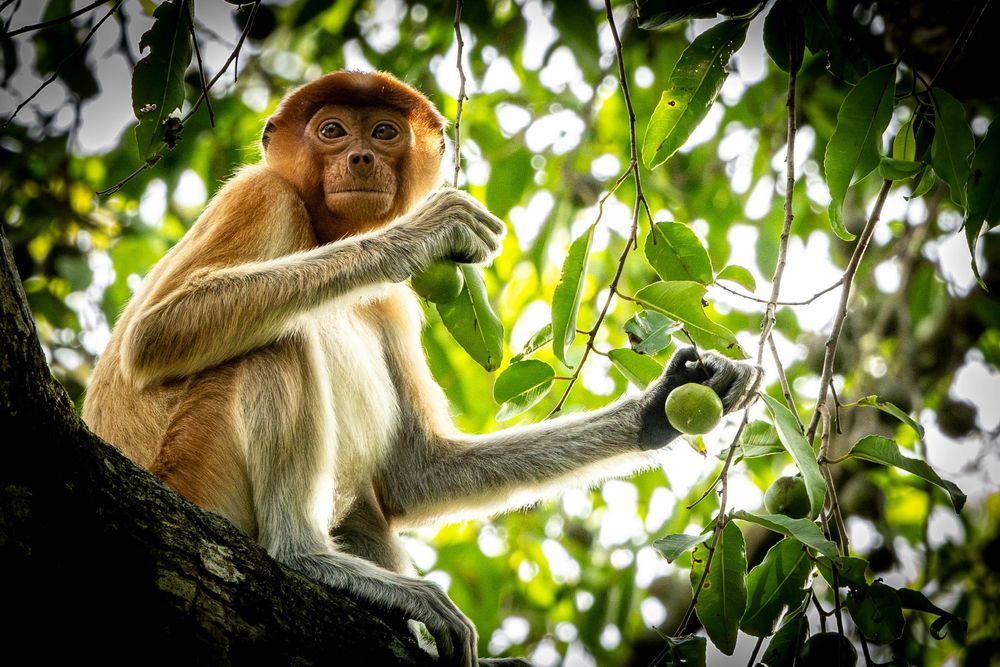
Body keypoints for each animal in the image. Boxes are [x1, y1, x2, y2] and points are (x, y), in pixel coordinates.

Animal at [82, 71, 763, 666]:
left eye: (384, 132)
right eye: (332, 131)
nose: (360, 159)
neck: (322, 231)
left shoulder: (392, 304)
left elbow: (415, 473)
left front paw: (664, 405)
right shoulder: (260, 196)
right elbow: (151, 336)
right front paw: (423, 233)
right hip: (195, 472)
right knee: (275, 340)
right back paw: (306, 557)